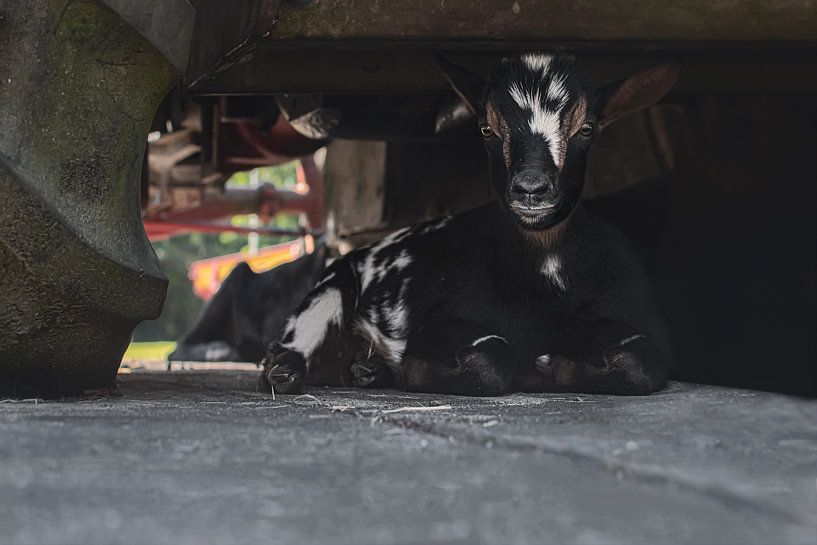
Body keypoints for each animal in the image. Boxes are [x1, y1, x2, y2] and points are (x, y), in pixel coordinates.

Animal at [260, 53, 676, 396]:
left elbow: (646, 364)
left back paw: (367, 371)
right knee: (289, 350)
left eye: (587, 128)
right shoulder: (438, 323)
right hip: (331, 287)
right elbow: (490, 359)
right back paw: (286, 371)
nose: (531, 188)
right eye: (486, 129)